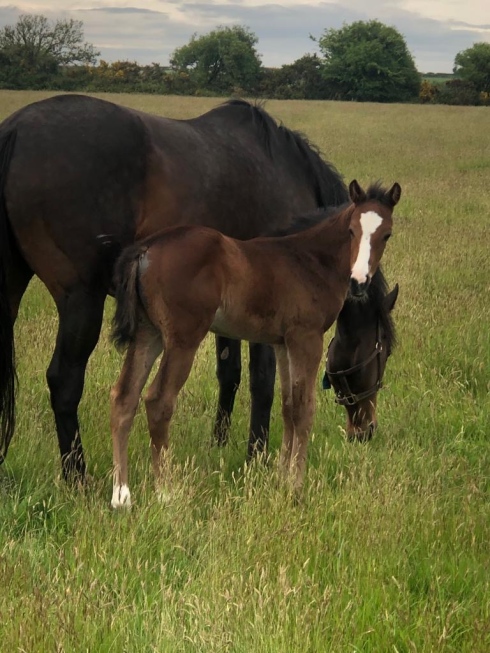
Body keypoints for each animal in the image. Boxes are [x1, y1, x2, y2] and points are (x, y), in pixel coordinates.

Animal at [0, 94, 352, 476]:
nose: (363, 432)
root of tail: (17, 128)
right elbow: (263, 381)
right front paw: (256, 455)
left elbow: (229, 372)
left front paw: (219, 445)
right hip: (81, 299)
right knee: (65, 380)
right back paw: (78, 477)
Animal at [109, 178, 400, 504]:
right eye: (351, 230)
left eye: (386, 234)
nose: (359, 282)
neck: (310, 260)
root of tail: (146, 248)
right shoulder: (307, 338)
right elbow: (304, 409)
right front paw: (296, 487)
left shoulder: (283, 343)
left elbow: (287, 407)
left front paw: (281, 479)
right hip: (183, 339)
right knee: (158, 401)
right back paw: (165, 491)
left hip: (148, 334)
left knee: (124, 397)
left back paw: (121, 495)